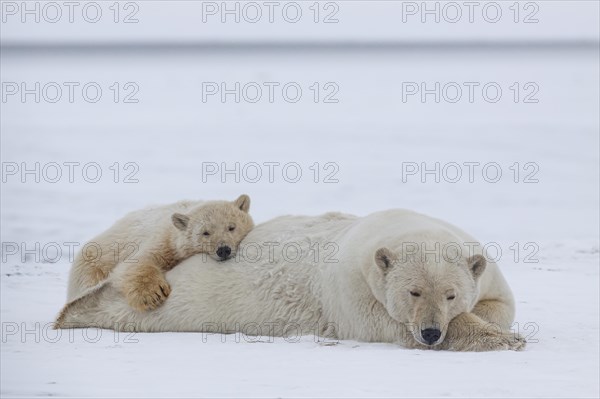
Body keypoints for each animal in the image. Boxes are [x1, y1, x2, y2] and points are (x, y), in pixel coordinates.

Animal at [56, 211, 524, 352]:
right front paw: (505, 340)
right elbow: (387, 326)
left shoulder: (485, 268)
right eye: (413, 292)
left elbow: (501, 305)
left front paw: (502, 331)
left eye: (450, 294)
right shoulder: (351, 291)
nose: (430, 332)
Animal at [66, 195, 253, 312]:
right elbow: (136, 262)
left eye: (231, 227)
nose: (223, 249)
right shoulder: (164, 241)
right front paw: (153, 295)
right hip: (93, 264)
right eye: (205, 232)